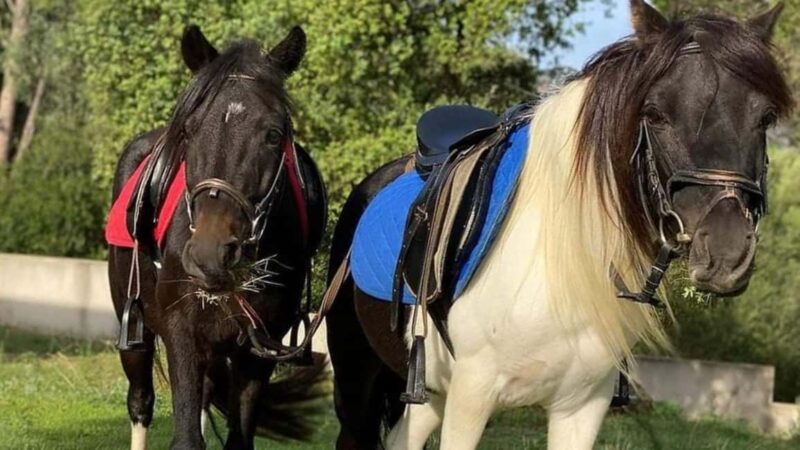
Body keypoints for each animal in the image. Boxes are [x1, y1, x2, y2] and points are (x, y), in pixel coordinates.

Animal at [106, 25, 327, 450]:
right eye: (190, 130)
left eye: (273, 134)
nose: (210, 253)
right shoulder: (182, 334)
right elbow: (186, 438)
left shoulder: (258, 348)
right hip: (135, 330)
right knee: (140, 401)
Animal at [325, 1, 793, 448]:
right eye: (656, 113)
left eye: (765, 117)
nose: (727, 252)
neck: (556, 257)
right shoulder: (471, 396)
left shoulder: (582, 407)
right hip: (358, 380)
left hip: (429, 395)